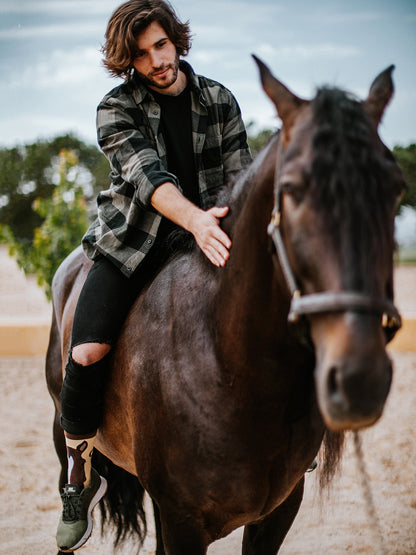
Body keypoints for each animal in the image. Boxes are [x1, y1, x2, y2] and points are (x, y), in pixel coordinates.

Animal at [46, 58, 406, 552]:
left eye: (395, 189)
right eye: (291, 190)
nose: (359, 378)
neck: (230, 366)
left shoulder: (278, 510)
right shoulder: (180, 520)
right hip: (63, 413)